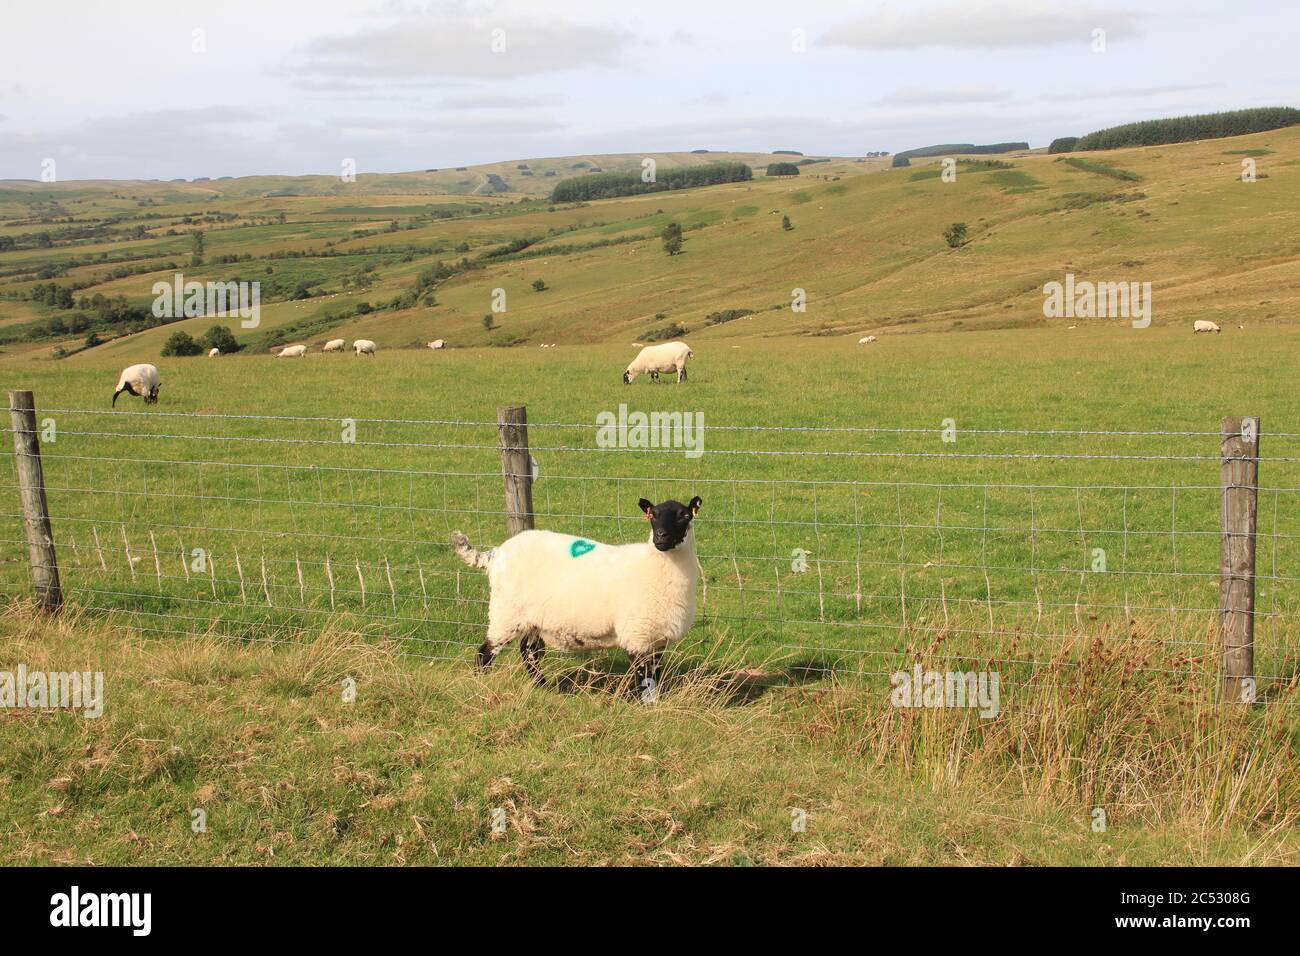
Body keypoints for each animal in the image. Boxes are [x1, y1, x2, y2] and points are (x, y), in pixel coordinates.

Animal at [452, 494, 707, 697]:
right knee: (485, 653)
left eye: (685, 516)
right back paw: (481, 686)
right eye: (652, 515)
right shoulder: (638, 634)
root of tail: (495, 554)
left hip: (533, 618)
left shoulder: (657, 638)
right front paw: (646, 705)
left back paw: (545, 688)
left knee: (529, 652)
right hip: (506, 613)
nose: (660, 537)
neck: (652, 566)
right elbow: (645, 677)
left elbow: (655, 674)